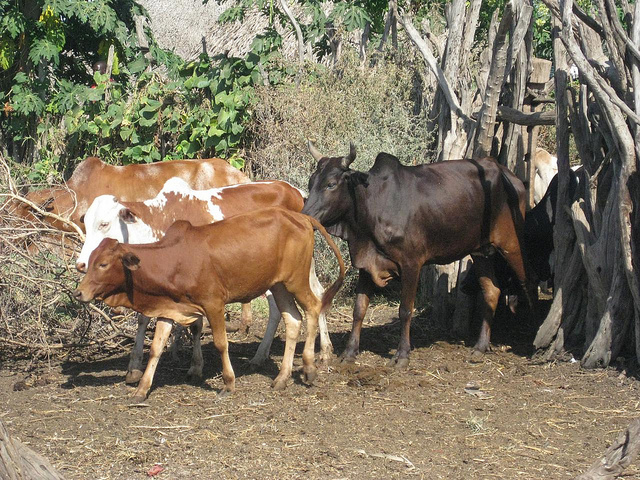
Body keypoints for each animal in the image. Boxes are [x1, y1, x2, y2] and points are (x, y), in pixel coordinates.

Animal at [73, 207, 346, 402]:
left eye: (103, 264)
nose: (79, 292)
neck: (174, 260)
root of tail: (301, 217)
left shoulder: (214, 303)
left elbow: (221, 343)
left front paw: (228, 383)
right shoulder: (169, 308)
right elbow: (156, 348)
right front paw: (141, 389)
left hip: (296, 280)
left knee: (314, 307)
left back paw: (309, 367)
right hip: (278, 285)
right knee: (292, 319)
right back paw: (281, 378)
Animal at [301, 141, 530, 365]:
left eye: (331, 184)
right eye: (311, 182)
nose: (305, 216)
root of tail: (510, 175)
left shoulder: (411, 263)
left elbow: (405, 310)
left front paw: (402, 355)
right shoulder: (367, 264)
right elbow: (359, 309)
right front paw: (349, 352)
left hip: (512, 244)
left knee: (527, 282)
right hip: (481, 251)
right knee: (491, 291)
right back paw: (480, 347)